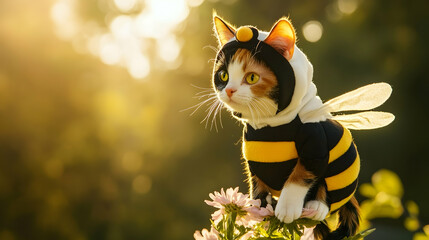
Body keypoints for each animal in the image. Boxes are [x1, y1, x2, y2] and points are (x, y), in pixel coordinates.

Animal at [209, 14, 392, 240]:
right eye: (223, 76)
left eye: (252, 77)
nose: (229, 90)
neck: (268, 125)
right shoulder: (253, 158)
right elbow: (257, 185)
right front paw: (259, 209)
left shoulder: (315, 144)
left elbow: (300, 175)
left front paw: (286, 208)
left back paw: (316, 207)